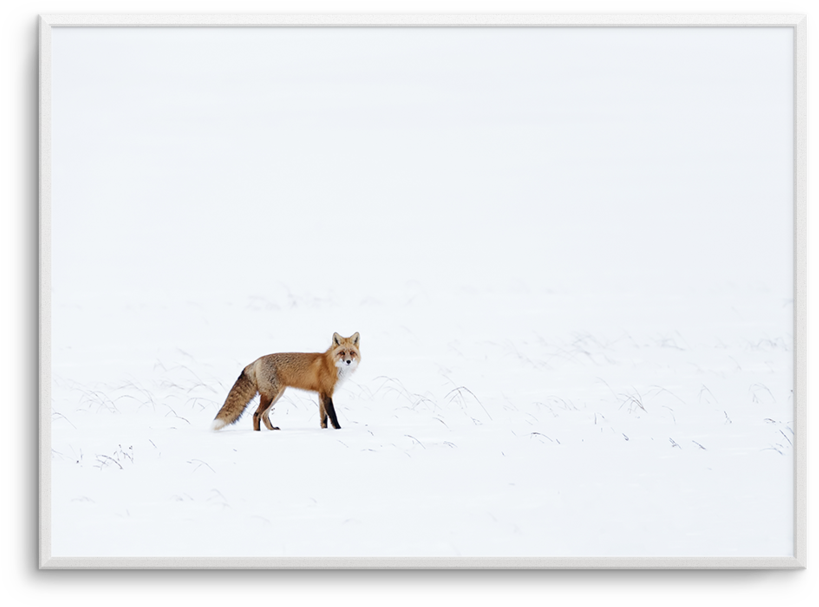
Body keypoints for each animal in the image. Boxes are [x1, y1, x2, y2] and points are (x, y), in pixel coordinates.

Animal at [211, 332, 360, 432]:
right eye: (342, 353)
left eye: (352, 353)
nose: (348, 361)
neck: (331, 365)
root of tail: (257, 360)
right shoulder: (326, 394)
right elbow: (333, 416)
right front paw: (339, 430)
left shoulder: (321, 394)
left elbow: (323, 418)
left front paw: (324, 431)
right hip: (270, 395)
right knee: (256, 414)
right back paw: (258, 434)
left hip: (277, 395)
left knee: (264, 415)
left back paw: (272, 430)